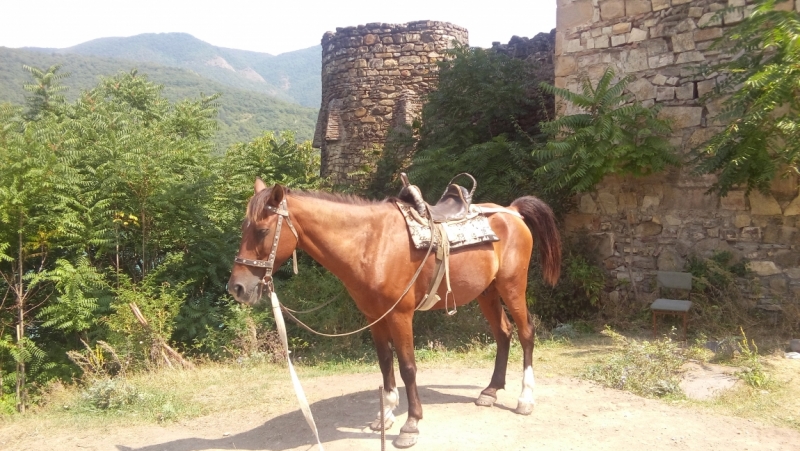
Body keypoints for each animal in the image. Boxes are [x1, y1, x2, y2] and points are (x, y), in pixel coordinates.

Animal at [228, 178, 560, 450]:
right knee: (503, 333)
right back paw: (490, 391)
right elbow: (385, 363)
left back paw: (525, 399)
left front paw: (410, 425)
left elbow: (407, 367)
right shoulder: (374, 316)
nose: (237, 288)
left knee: (526, 333)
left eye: (262, 231)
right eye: (242, 229)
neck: (370, 244)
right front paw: (385, 415)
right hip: (487, 293)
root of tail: (511, 211)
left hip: (512, 286)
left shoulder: (401, 315)